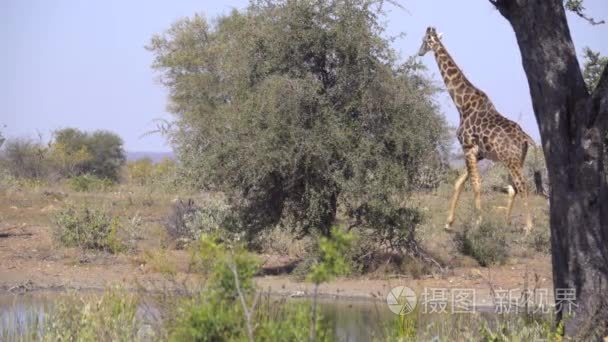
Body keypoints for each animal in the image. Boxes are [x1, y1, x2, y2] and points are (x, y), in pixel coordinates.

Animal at [418, 26, 532, 232]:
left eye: (424, 40)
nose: (420, 52)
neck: (462, 105)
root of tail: (526, 138)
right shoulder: (479, 153)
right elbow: (459, 182)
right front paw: (448, 222)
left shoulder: (468, 147)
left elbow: (476, 183)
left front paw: (478, 222)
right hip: (518, 159)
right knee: (513, 187)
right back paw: (505, 223)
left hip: (510, 159)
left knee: (522, 184)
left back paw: (528, 227)